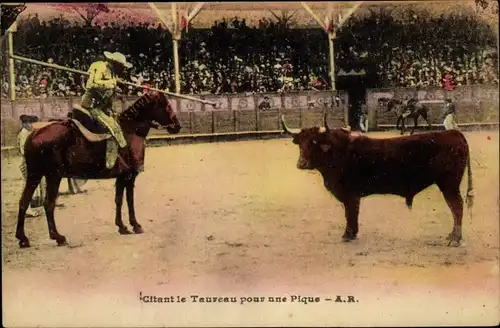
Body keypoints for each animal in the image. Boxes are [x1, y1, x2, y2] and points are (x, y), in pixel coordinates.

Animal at [15, 91, 182, 247]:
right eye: (165, 105)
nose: (177, 126)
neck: (130, 131)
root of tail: (34, 134)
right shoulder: (129, 176)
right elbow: (129, 200)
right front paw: (135, 225)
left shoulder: (121, 177)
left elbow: (119, 200)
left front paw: (122, 227)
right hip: (53, 176)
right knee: (48, 204)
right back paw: (58, 237)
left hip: (35, 175)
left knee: (24, 201)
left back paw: (23, 238)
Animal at [284, 115, 474, 246]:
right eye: (300, 143)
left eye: (314, 142)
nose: (301, 164)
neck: (338, 151)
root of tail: (454, 133)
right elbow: (351, 214)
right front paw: (351, 233)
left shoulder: (351, 195)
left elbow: (350, 214)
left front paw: (348, 234)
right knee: (454, 208)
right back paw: (452, 236)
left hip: (449, 184)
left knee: (457, 206)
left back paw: (455, 239)